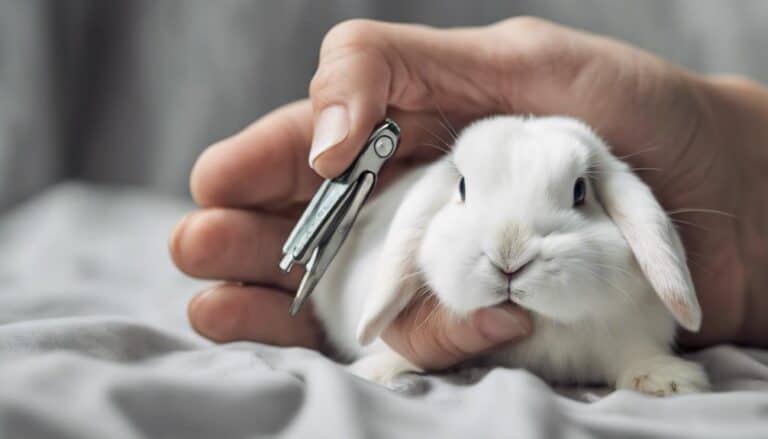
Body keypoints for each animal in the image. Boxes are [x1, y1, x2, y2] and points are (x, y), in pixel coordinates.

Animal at [309, 115, 710, 396]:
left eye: (580, 191)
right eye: (462, 187)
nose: (509, 258)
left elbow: (636, 353)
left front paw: (666, 380)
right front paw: (381, 370)